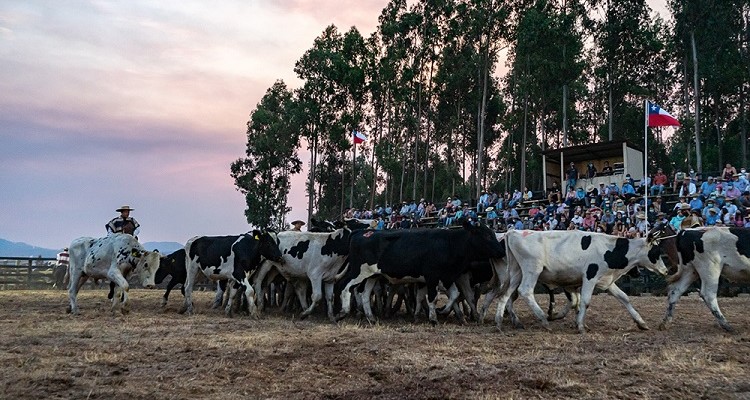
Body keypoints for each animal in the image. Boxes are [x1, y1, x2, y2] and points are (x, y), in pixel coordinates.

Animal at [334, 222, 506, 324]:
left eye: (492, 233)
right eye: (486, 235)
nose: (502, 250)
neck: (450, 243)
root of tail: (361, 232)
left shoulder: (447, 277)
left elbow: (455, 295)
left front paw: (443, 311)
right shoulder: (432, 277)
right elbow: (432, 297)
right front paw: (433, 318)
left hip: (372, 275)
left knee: (364, 293)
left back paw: (371, 317)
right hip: (358, 271)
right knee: (345, 286)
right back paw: (342, 312)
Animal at [494, 230, 668, 332]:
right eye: (656, 251)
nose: (666, 270)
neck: (609, 249)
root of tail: (513, 232)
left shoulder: (607, 280)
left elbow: (624, 298)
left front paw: (641, 322)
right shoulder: (590, 277)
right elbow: (585, 301)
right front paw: (580, 326)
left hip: (516, 272)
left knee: (506, 294)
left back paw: (500, 321)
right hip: (532, 269)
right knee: (525, 291)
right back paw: (543, 319)